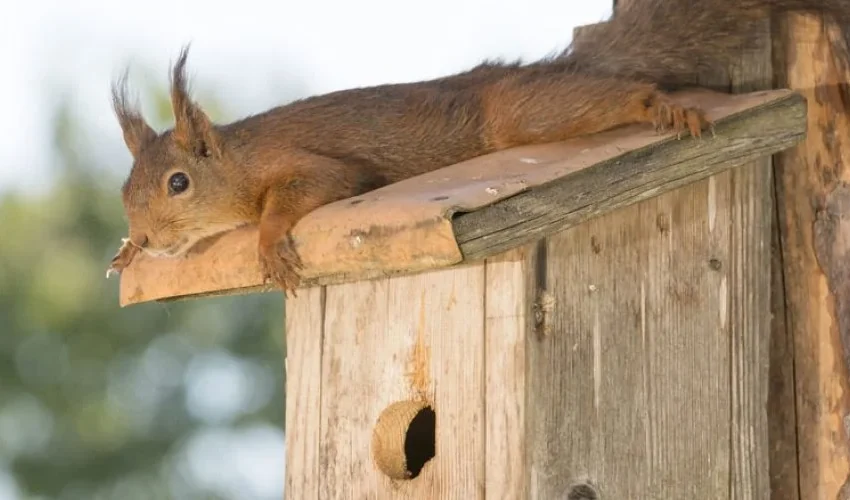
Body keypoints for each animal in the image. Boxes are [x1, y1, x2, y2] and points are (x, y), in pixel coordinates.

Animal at [107, 0, 850, 296]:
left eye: (178, 183)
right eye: (124, 191)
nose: (148, 236)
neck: (237, 160)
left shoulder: (314, 168)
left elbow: (310, 189)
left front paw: (267, 241)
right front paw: (125, 254)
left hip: (517, 115)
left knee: (607, 96)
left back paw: (660, 106)